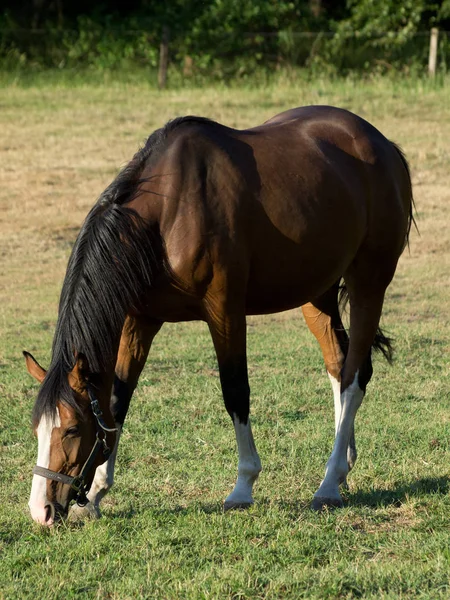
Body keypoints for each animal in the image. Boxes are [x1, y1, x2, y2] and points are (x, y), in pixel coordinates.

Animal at [22, 106, 414, 524]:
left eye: (72, 429)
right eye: (36, 429)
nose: (41, 510)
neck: (167, 215)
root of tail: (381, 145)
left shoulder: (224, 311)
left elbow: (235, 391)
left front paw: (243, 485)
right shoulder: (139, 322)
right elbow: (117, 402)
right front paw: (97, 492)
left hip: (368, 283)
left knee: (355, 375)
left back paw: (328, 482)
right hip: (317, 293)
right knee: (338, 366)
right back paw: (342, 469)